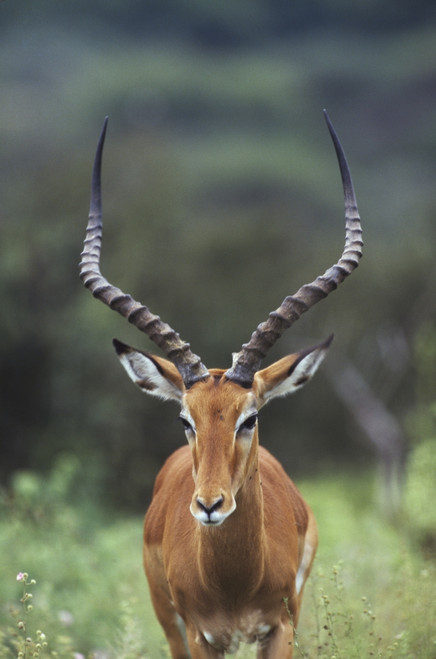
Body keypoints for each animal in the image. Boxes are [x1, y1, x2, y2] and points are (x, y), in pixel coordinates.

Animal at [80, 111, 362, 658]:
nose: (210, 506)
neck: (234, 581)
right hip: (171, 626)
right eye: (184, 419)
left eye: (249, 417)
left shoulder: (280, 630)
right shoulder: (199, 635)